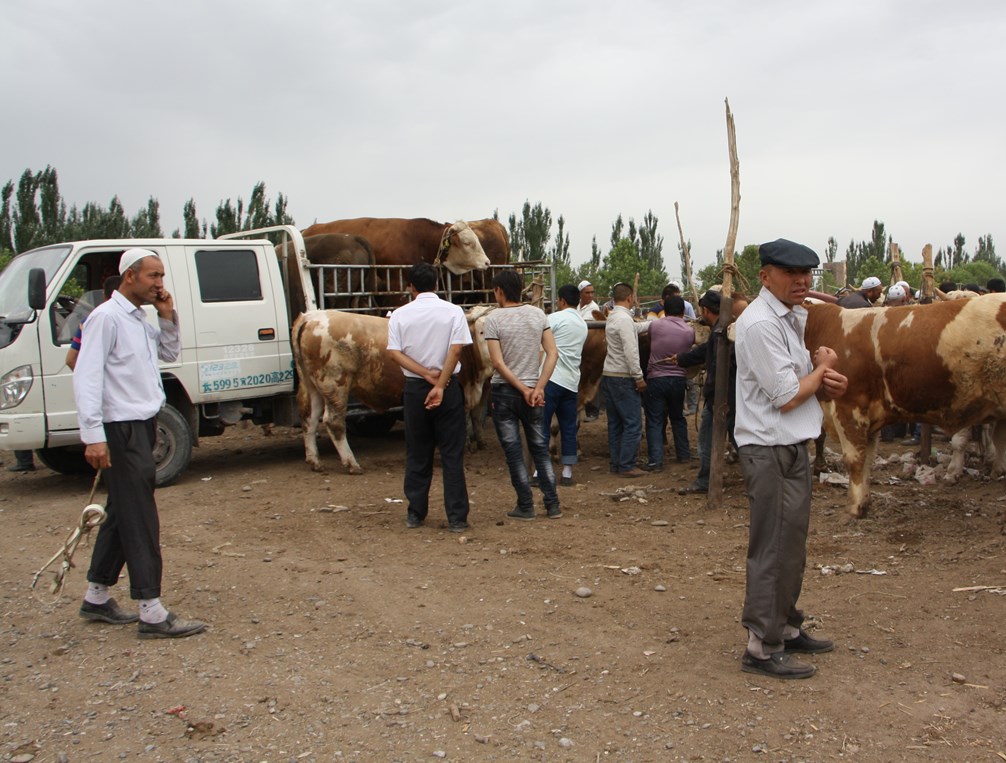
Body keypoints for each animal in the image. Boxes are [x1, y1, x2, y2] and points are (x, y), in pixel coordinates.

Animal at [291, 303, 494, 473]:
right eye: (482, 332)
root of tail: (310, 317)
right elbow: (465, 417)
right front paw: (466, 445)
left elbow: (476, 413)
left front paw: (481, 442)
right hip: (335, 385)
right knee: (334, 422)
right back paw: (351, 463)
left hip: (313, 386)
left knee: (309, 419)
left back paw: (314, 461)